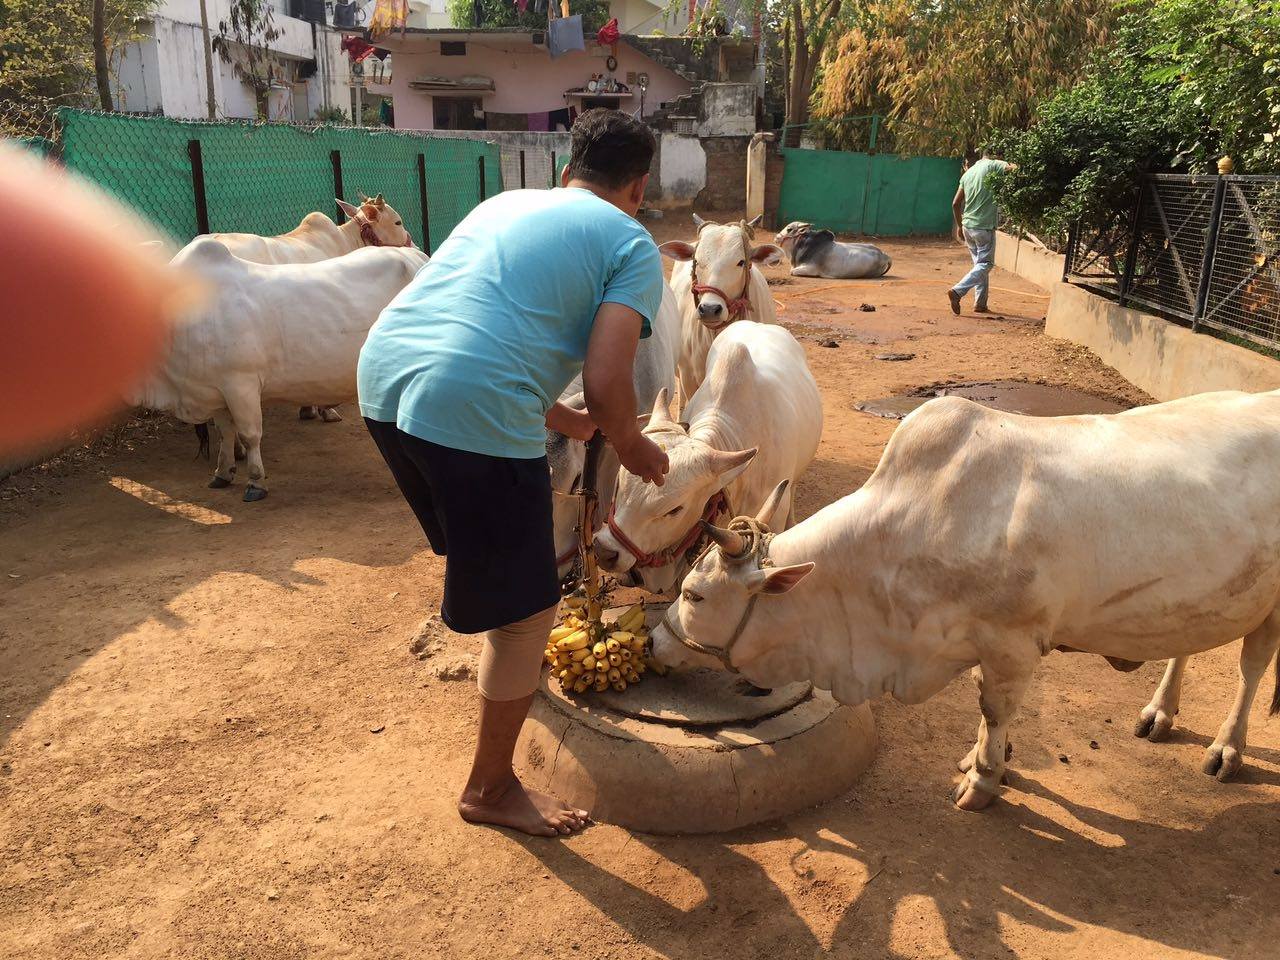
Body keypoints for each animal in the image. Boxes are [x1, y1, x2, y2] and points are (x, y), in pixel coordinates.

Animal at [655, 391, 1280, 814]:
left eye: (693, 593)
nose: (656, 641)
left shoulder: (1013, 644)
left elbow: (994, 710)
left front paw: (982, 781)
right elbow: (986, 709)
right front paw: (985, 761)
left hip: (1272, 606)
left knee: (1251, 668)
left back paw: (1227, 748)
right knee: (1188, 643)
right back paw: (1160, 712)